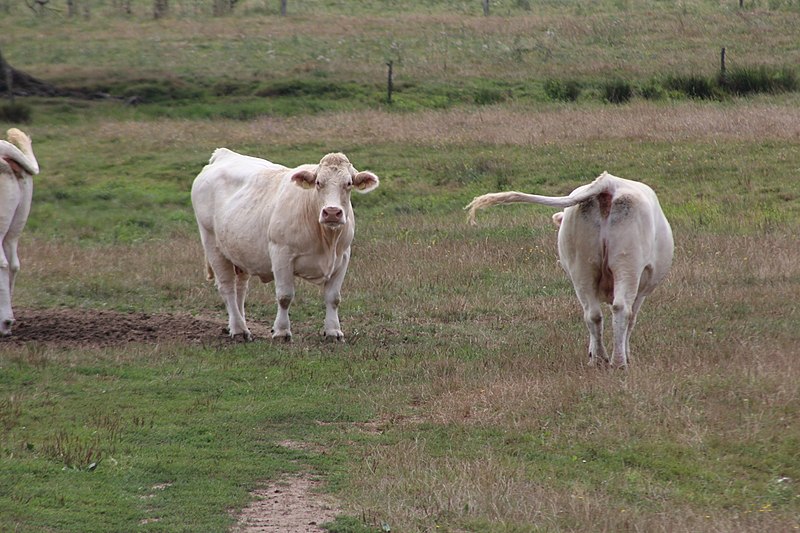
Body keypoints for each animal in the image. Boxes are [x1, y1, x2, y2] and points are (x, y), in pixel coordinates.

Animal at [191, 148, 380, 342]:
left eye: (348, 183)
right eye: (318, 182)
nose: (332, 212)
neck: (326, 239)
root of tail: (224, 154)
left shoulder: (343, 257)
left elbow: (333, 298)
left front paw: (333, 331)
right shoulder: (281, 254)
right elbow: (285, 296)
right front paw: (282, 331)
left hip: (239, 252)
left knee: (240, 289)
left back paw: (240, 325)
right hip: (212, 243)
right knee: (227, 287)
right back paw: (238, 329)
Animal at [465, 171, 673, 368]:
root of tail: (609, 183)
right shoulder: (642, 289)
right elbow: (632, 320)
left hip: (581, 268)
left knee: (592, 314)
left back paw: (598, 359)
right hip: (628, 264)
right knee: (621, 309)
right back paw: (619, 362)